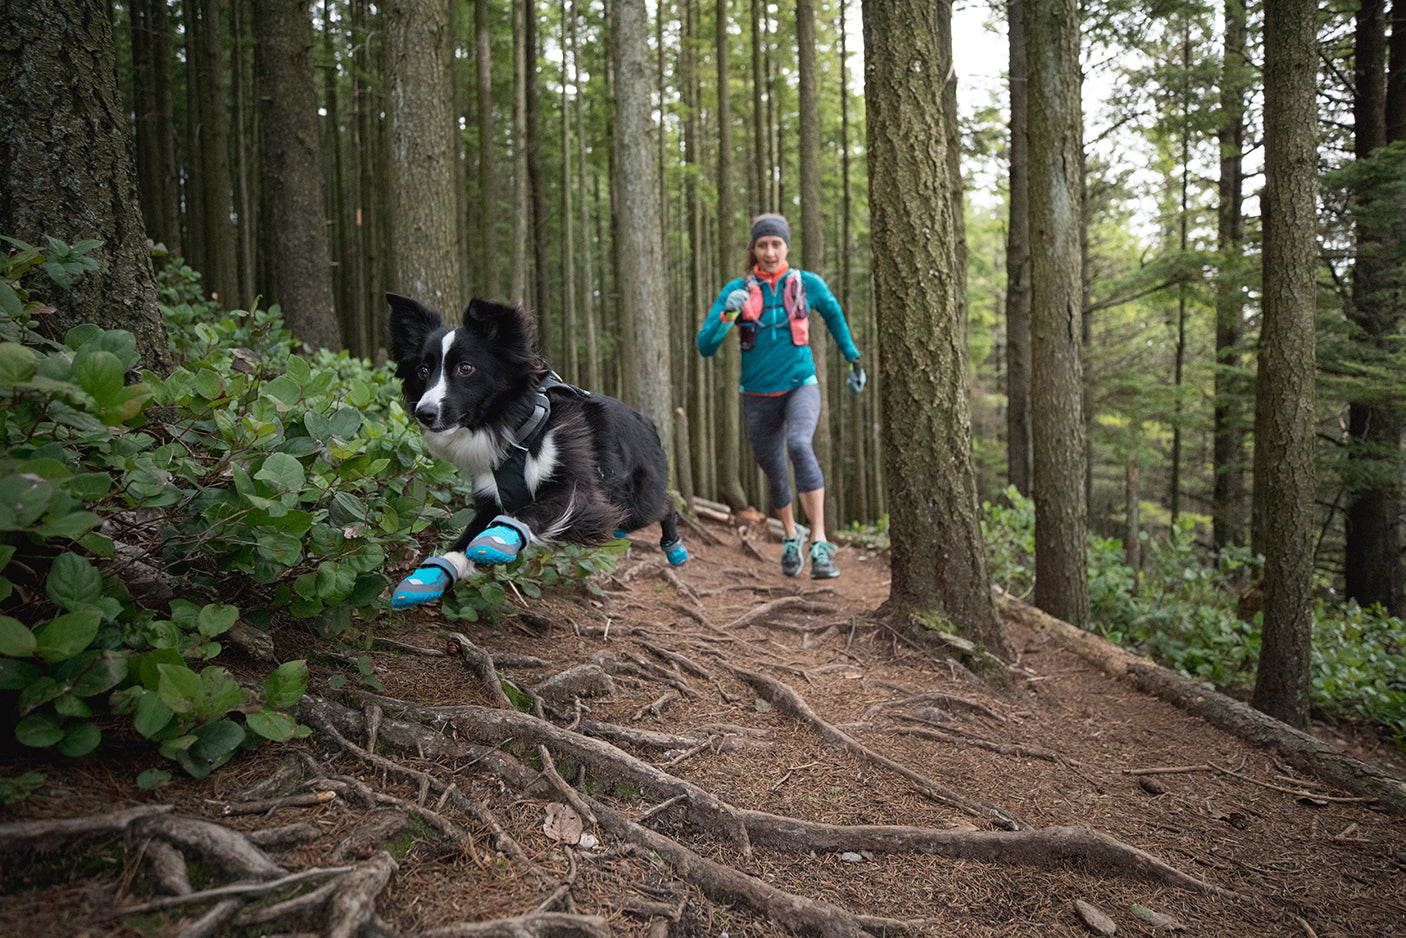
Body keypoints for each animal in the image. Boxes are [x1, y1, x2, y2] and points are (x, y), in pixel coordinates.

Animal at [388, 291, 683, 610]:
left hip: (639, 502)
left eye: (465, 368)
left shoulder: (575, 487)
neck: (516, 427)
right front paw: (430, 577)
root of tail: (649, 424)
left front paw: (500, 537)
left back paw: (675, 548)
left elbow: (532, 510)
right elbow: (466, 539)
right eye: (423, 371)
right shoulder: (491, 495)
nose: (425, 413)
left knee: (666, 504)